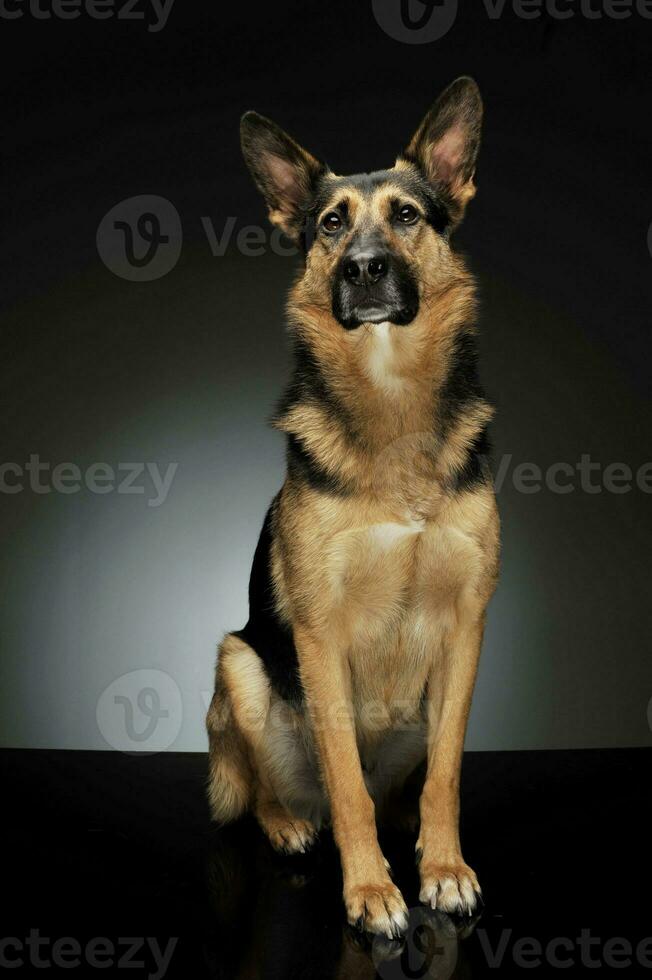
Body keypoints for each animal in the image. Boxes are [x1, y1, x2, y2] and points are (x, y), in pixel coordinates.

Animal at [209, 74, 500, 936]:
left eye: (406, 215)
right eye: (331, 224)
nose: (365, 269)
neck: (390, 394)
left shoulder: (466, 625)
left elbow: (446, 776)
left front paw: (443, 869)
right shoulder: (319, 632)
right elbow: (343, 784)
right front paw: (370, 889)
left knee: (400, 787)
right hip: (238, 665)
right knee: (273, 789)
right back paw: (288, 823)